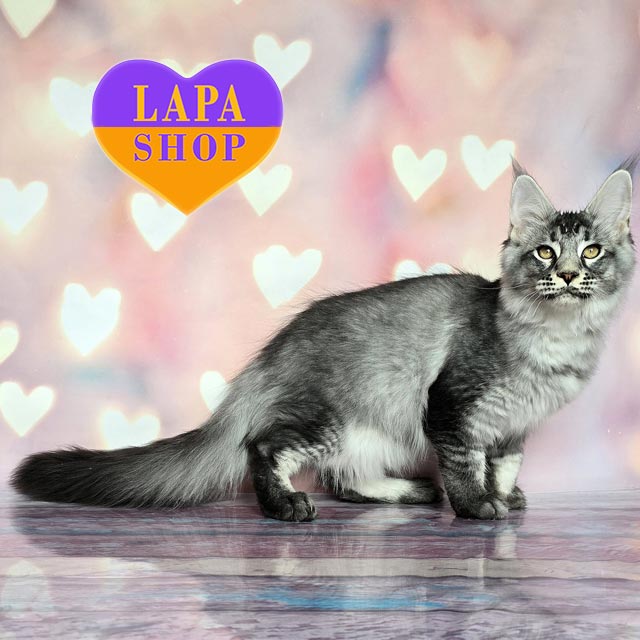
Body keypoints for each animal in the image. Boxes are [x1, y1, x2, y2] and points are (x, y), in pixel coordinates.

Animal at [11, 159, 636, 521]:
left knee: (349, 483)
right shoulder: (452, 406)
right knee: (264, 447)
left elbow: (502, 467)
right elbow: (465, 465)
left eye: (592, 252)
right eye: (546, 253)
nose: (569, 275)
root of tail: (270, 356)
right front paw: (478, 509)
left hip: (368, 434)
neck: (554, 342)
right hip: (329, 416)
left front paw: (504, 497)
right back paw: (287, 505)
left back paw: (412, 491)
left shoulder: (511, 428)